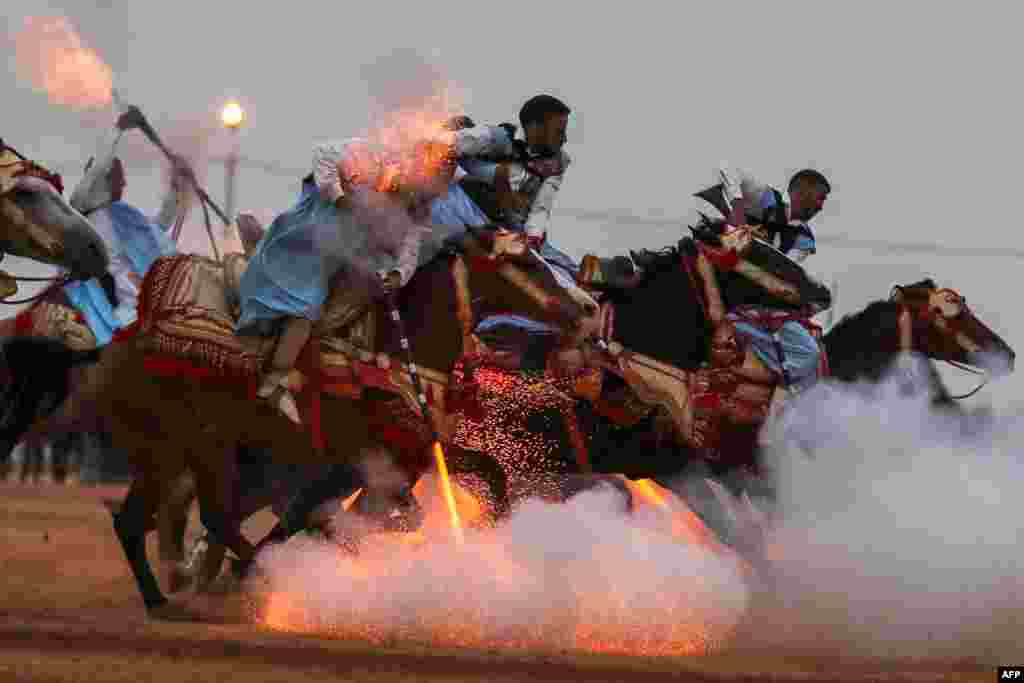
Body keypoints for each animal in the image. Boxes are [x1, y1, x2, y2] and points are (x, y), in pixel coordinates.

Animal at [0, 231, 593, 618]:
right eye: (527, 264)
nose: (588, 307)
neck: (393, 359)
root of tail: (114, 345)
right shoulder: (366, 464)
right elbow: (344, 519)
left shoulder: (409, 456)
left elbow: (482, 478)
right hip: (198, 448)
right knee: (212, 518)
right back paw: (232, 579)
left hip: (166, 455)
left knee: (138, 522)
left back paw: (168, 596)